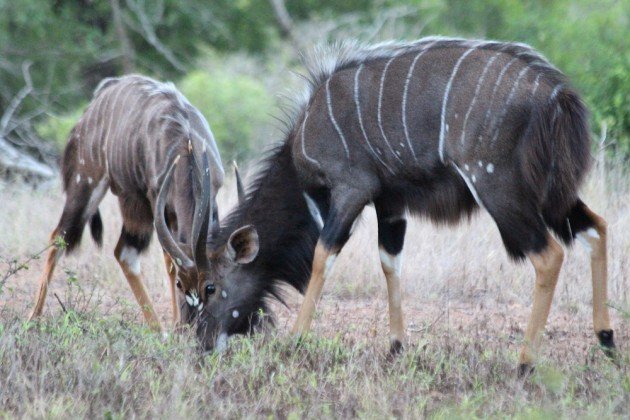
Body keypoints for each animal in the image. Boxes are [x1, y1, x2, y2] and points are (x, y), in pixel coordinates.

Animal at [31, 75, 227, 332]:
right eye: (180, 285)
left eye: (211, 287)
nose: (192, 323)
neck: (185, 143)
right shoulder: (157, 202)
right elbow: (170, 262)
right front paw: (175, 326)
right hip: (89, 186)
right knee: (63, 238)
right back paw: (32, 319)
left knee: (122, 252)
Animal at [164, 37, 616, 374]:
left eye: (210, 286)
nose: (203, 345)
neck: (302, 146)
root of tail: (557, 96)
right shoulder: (391, 202)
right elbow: (389, 260)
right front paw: (396, 346)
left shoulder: (351, 189)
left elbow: (323, 254)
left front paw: (296, 340)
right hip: (550, 193)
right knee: (596, 227)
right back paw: (606, 339)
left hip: (497, 187)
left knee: (550, 254)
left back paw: (524, 362)